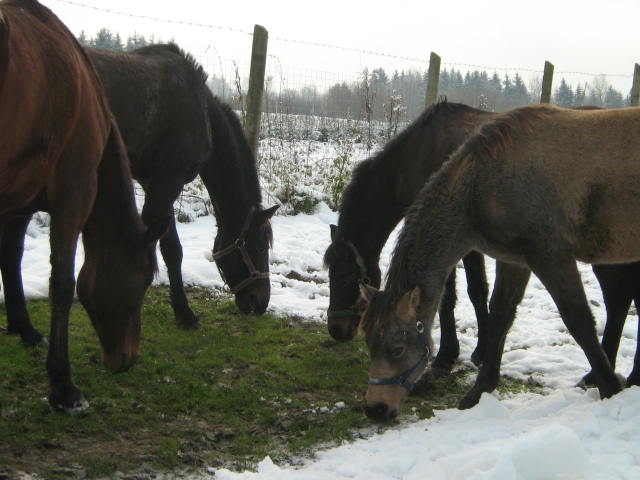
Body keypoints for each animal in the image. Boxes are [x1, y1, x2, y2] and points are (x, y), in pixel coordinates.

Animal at [0, 0, 168, 412]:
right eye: (144, 280)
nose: (128, 359)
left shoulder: (17, 203)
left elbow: (9, 257)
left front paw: (24, 329)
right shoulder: (73, 196)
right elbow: (63, 284)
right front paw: (63, 386)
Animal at [2, 43, 278, 344]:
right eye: (259, 245)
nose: (260, 302)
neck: (199, 107)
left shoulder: (156, 183)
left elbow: (172, 250)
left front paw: (182, 313)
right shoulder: (167, 183)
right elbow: (158, 250)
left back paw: (23, 327)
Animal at [358, 103, 636, 418]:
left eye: (397, 349)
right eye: (368, 342)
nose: (376, 408)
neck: (483, 183)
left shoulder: (552, 258)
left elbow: (579, 321)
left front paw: (609, 388)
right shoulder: (516, 260)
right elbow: (501, 314)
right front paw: (480, 390)